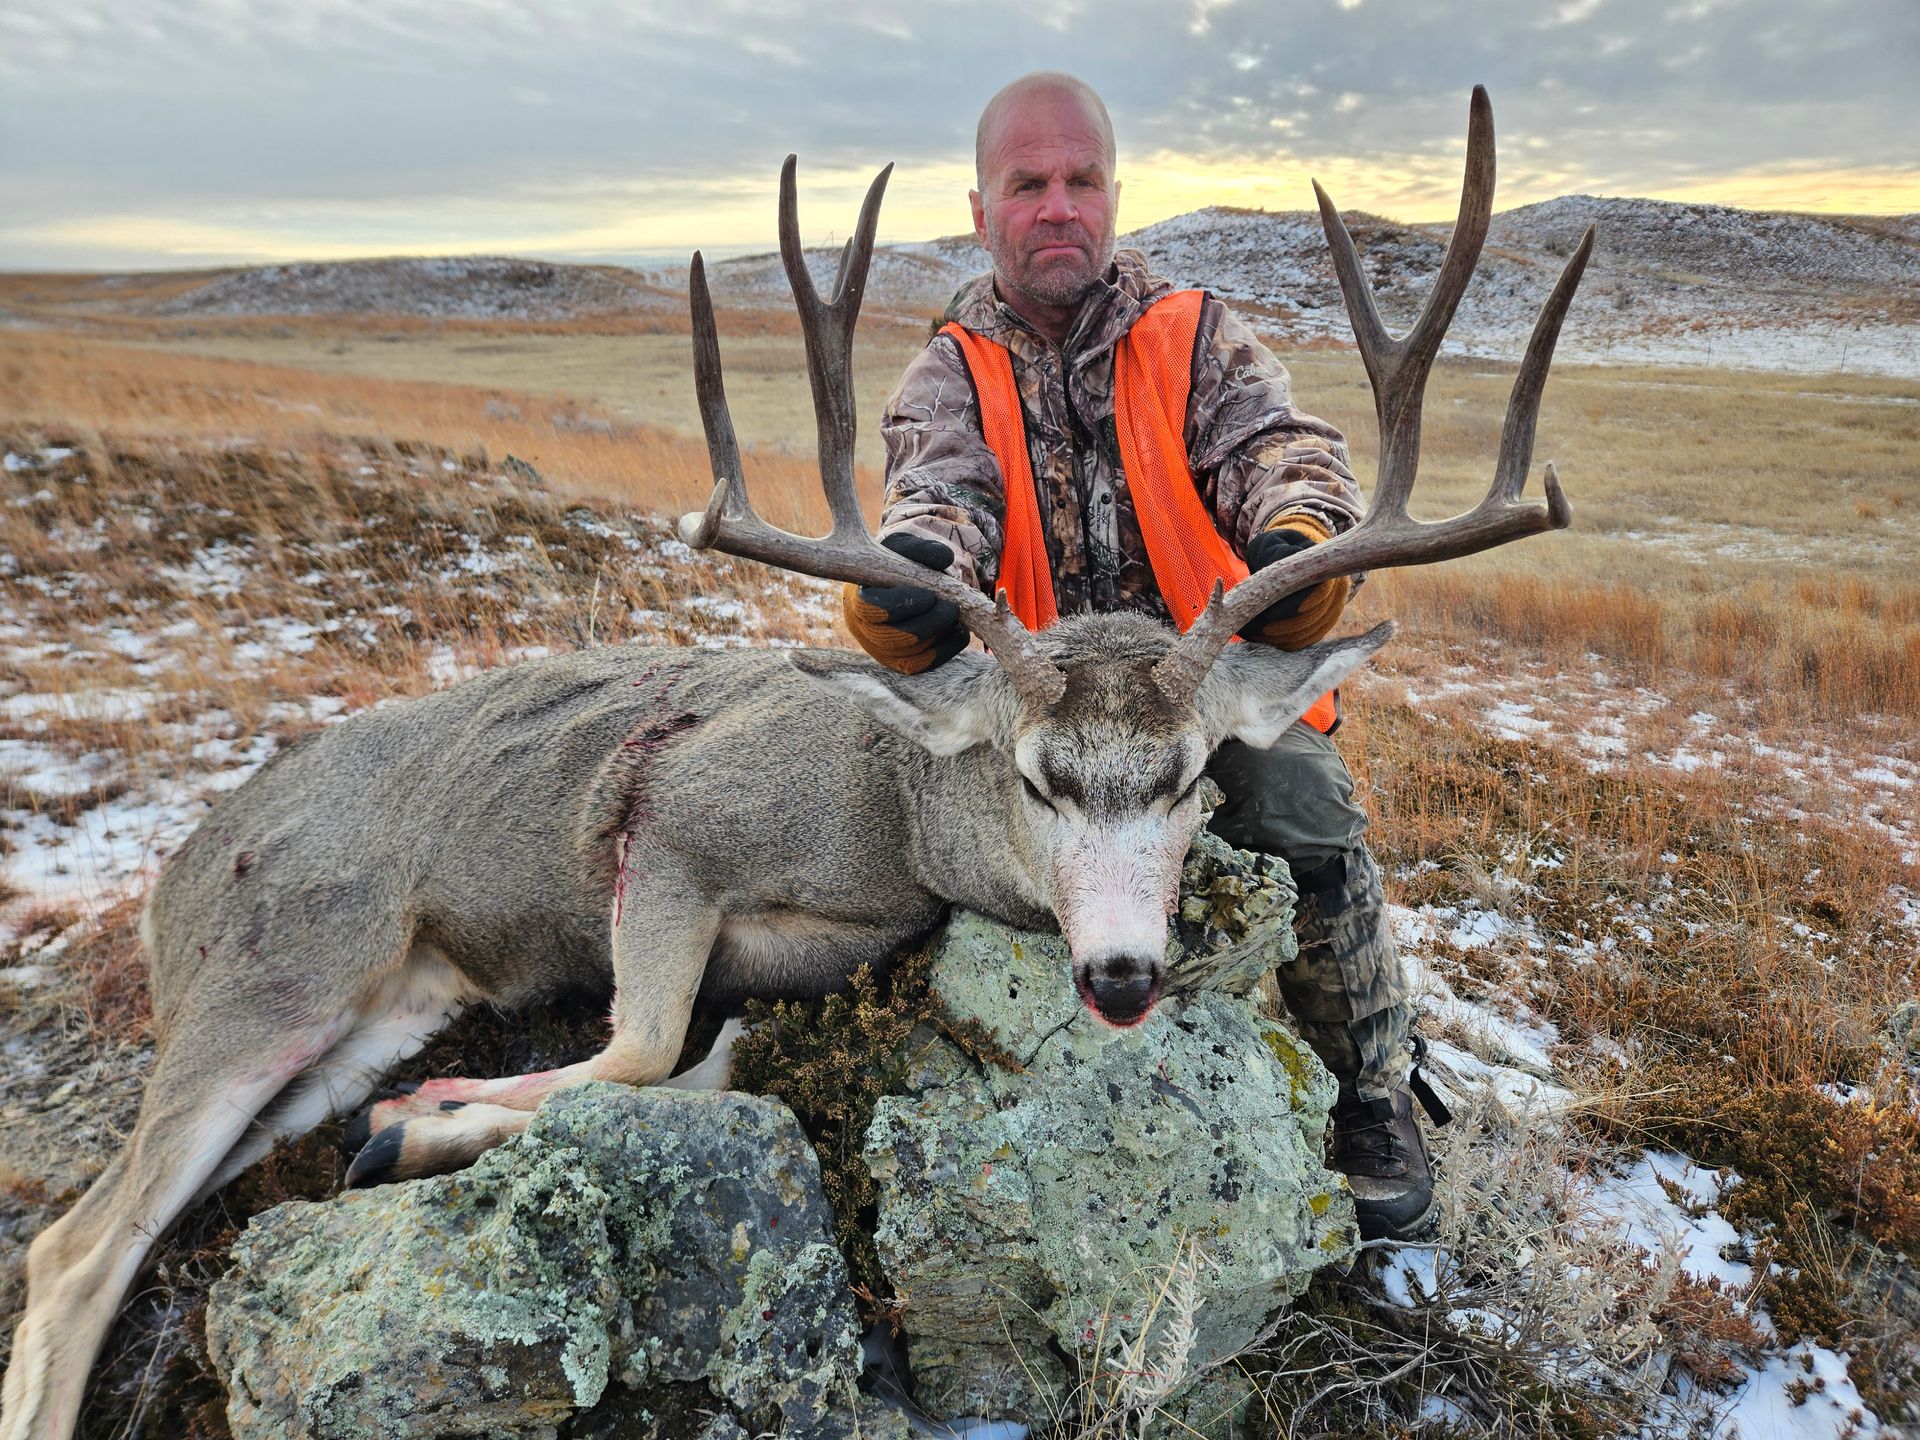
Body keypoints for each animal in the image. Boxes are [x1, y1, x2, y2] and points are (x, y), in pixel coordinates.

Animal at [0, 87, 1590, 1440]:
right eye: (1033, 774)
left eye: (1196, 775)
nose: (1126, 976)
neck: (887, 818)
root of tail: (169, 885)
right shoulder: (665, 821)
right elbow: (643, 1045)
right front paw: (449, 1123)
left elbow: (683, 1050)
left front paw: (432, 1124)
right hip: (284, 962)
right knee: (75, 1248)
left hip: (369, 1009)